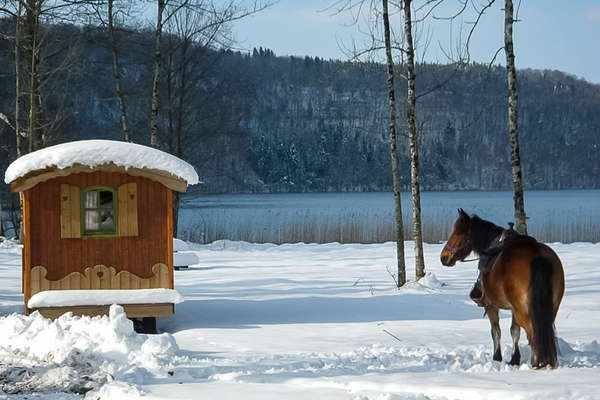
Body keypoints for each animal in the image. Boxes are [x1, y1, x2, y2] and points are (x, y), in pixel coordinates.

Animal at [440, 209, 564, 368]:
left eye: (458, 232)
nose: (443, 257)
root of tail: (537, 254)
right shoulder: (513, 308)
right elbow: (514, 331)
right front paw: (514, 358)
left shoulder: (491, 306)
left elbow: (496, 331)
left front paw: (497, 357)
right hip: (550, 308)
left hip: (523, 311)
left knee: (533, 332)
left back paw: (537, 363)